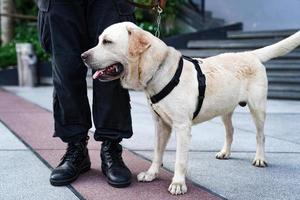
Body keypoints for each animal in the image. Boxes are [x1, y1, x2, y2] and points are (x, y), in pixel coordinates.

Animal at [81, 22, 300, 195]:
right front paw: (152, 173)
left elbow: (180, 159)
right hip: (225, 109)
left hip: (258, 108)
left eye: (107, 42)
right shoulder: (160, 124)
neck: (159, 69)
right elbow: (157, 152)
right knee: (230, 131)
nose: (83, 55)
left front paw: (178, 184)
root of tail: (249, 54)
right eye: (99, 40)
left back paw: (260, 158)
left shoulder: (182, 126)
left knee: (260, 135)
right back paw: (225, 152)